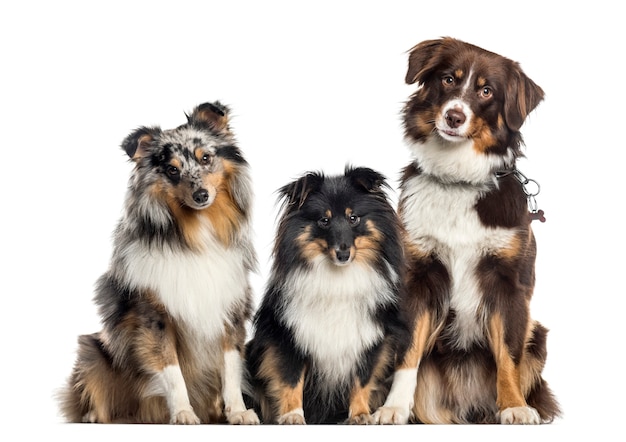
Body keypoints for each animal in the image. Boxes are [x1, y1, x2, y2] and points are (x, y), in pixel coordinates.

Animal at [59, 101, 260, 424]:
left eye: (205, 158)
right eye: (172, 169)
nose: (201, 195)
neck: (195, 235)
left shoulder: (230, 310)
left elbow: (231, 368)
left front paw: (238, 411)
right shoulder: (154, 317)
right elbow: (171, 369)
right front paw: (183, 412)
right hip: (91, 351)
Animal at [244, 166, 410, 424]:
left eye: (353, 218)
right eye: (324, 220)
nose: (343, 254)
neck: (338, 278)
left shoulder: (371, 338)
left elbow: (362, 379)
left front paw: (360, 414)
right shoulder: (287, 336)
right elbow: (291, 379)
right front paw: (292, 416)